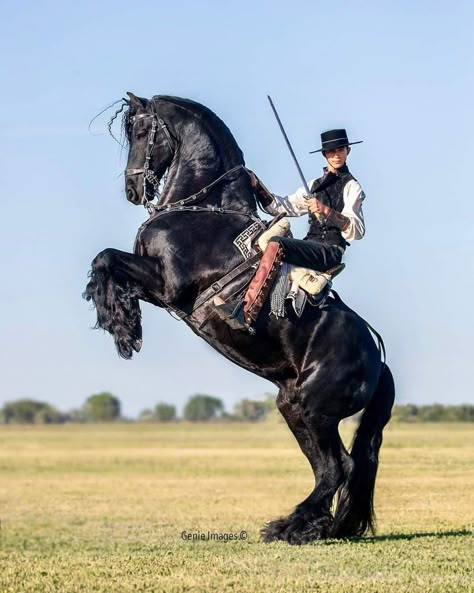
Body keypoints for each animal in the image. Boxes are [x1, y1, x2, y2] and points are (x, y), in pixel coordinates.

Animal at [83, 93, 394, 544]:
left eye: (141, 130)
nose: (131, 189)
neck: (202, 208)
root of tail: (378, 358)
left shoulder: (168, 284)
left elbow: (105, 258)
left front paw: (124, 329)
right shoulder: (157, 288)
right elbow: (107, 262)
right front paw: (122, 319)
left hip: (315, 408)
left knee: (340, 467)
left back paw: (292, 526)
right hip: (293, 406)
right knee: (328, 468)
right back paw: (307, 528)